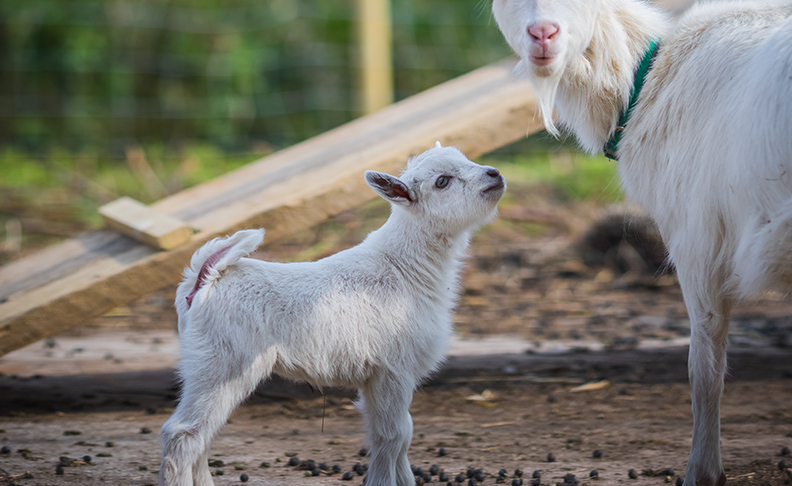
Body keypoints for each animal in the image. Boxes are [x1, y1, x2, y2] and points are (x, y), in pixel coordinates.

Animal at [159, 143, 508, 486]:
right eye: (442, 182)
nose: (495, 174)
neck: (402, 267)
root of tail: (204, 279)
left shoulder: (377, 376)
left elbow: (398, 434)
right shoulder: (393, 369)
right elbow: (393, 436)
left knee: (203, 435)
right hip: (223, 363)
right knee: (182, 434)